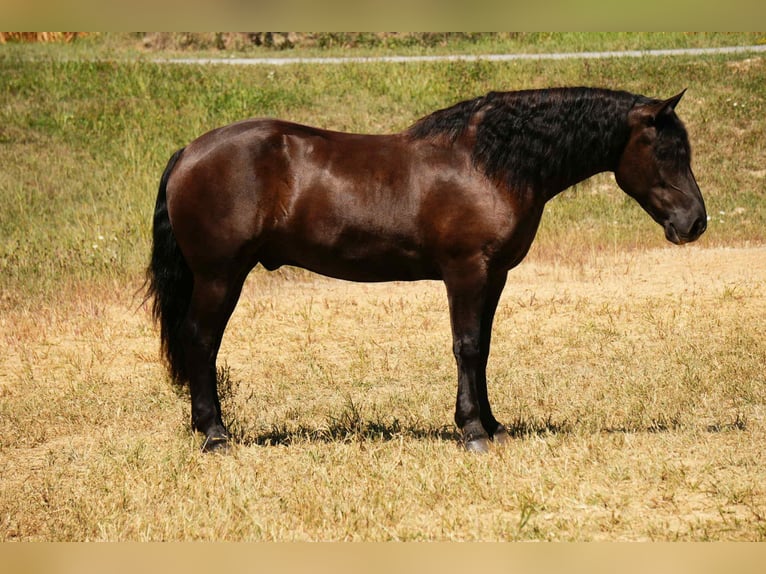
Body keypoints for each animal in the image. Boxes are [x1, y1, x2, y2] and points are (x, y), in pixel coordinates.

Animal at [146, 87, 707, 453]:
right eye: (664, 150)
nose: (695, 222)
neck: (487, 164)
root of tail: (188, 152)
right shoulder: (466, 273)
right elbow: (467, 347)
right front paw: (473, 432)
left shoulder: (494, 276)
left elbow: (484, 349)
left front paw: (494, 425)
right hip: (220, 276)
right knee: (200, 340)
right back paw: (215, 435)